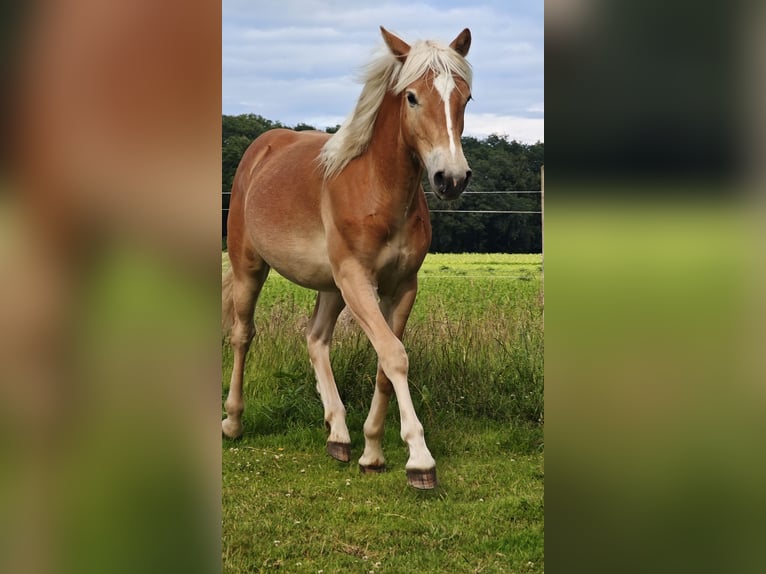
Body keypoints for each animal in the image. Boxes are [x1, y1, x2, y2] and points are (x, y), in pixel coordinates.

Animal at [222, 24, 474, 488]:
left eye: (465, 98)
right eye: (412, 97)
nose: (451, 178)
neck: (378, 189)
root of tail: (261, 149)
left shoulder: (401, 287)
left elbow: (384, 364)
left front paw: (372, 450)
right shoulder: (358, 280)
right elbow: (394, 356)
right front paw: (420, 459)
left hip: (330, 287)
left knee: (316, 339)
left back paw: (338, 434)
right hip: (251, 268)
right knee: (242, 335)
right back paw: (232, 422)